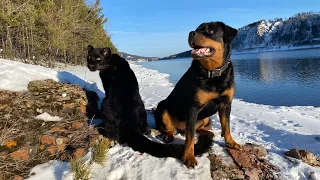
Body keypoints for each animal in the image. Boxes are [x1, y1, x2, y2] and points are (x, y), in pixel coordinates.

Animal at [86, 45, 214, 161]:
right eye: (89, 57)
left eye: (98, 58)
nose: (90, 65)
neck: (111, 61)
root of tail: (132, 127)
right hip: (142, 108)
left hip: (106, 105)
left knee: (113, 134)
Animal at [154, 21, 241, 168]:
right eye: (196, 29)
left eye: (210, 31)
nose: (191, 33)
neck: (213, 72)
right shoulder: (193, 107)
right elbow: (190, 137)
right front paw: (188, 156)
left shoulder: (226, 104)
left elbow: (226, 126)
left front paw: (231, 143)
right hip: (162, 107)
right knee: (171, 128)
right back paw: (169, 135)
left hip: (206, 118)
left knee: (198, 129)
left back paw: (208, 133)